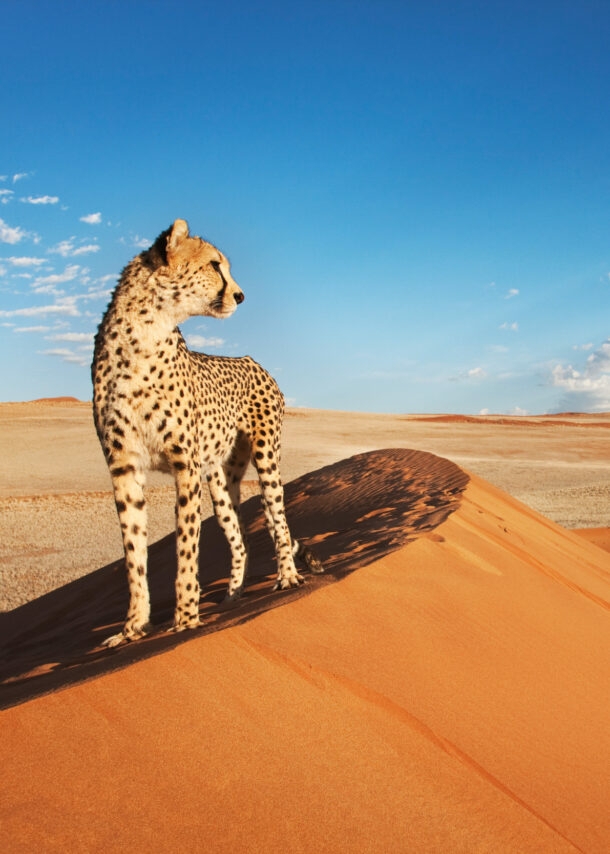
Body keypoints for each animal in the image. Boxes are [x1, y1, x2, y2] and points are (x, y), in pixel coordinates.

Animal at [91, 217, 324, 644]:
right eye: (215, 265)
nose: (241, 295)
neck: (143, 333)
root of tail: (252, 361)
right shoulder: (124, 467)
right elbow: (134, 554)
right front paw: (133, 629)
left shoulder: (185, 465)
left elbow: (186, 546)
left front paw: (185, 618)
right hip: (219, 481)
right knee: (240, 537)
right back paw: (233, 595)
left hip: (266, 458)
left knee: (278, 521)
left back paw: (287, 577)